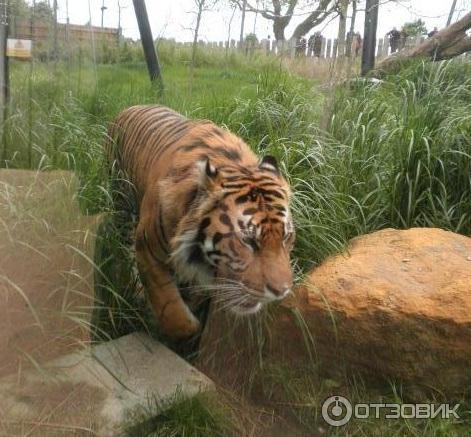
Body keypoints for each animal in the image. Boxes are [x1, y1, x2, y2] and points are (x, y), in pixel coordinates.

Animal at [107, 104, 296, 338]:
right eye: (248, 241)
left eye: (287, 237)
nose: (282, 292)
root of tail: (125, 109)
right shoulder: (147, 250)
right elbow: (173, 313)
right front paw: (188, 326)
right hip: (119, 200)